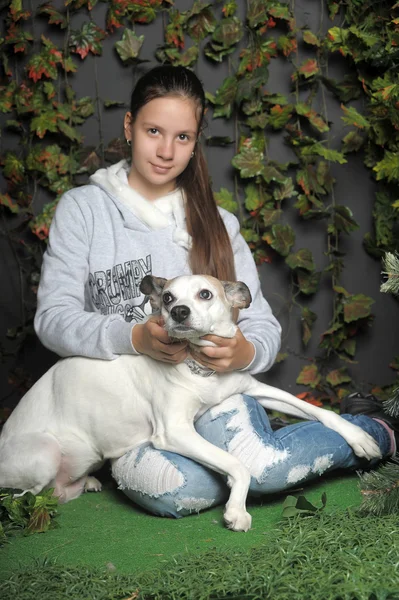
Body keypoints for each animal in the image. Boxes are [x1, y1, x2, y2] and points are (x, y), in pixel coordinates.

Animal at [0, 274, 382, 532]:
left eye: (205, 293)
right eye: (168, 297)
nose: (180, 311)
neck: (202, 369)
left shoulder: (254, 387)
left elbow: (320, 411)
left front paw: (359, 437)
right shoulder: (175, 432)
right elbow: (238, 465)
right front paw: (236, 510)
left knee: (54, 491)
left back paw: (88, 483)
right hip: (44, 453)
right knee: (29, 497)